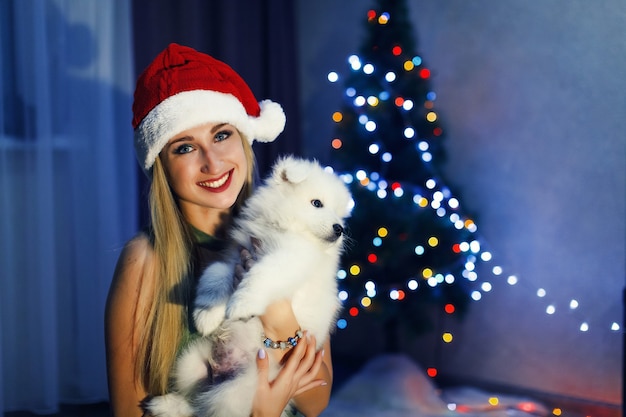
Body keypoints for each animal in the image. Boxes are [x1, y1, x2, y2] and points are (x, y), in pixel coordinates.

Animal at [143, 156, 354, 416]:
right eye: (317, 203)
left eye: (341, 216)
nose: (340, 229)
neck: (286, 229)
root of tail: (222, 370)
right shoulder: (236, 255)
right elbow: (215, 275)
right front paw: (206, 315)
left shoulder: (289, 259)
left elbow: (260, 276)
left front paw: (240, 305)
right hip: (190, 363)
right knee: (196, 398)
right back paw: (166, 404)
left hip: (236, 392)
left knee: (208, 405)